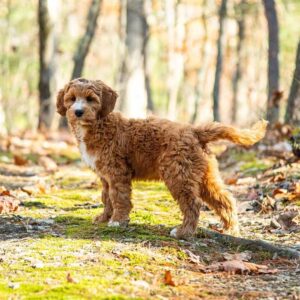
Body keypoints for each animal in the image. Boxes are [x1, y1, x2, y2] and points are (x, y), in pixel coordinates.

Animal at [56, 78, 268, 239]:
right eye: (72, 99)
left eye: (90, 99)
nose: (78, 112)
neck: (100, 123)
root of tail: (195, 131)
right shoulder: (105, 176)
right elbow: (107, 198)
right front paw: (104, 218)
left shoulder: (117, 172)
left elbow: (119, 198)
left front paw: (117, 221)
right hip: (205, 175)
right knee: (225, 199)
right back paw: (231, 229)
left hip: (178, 174)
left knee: (193, 204)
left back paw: (183, 232)